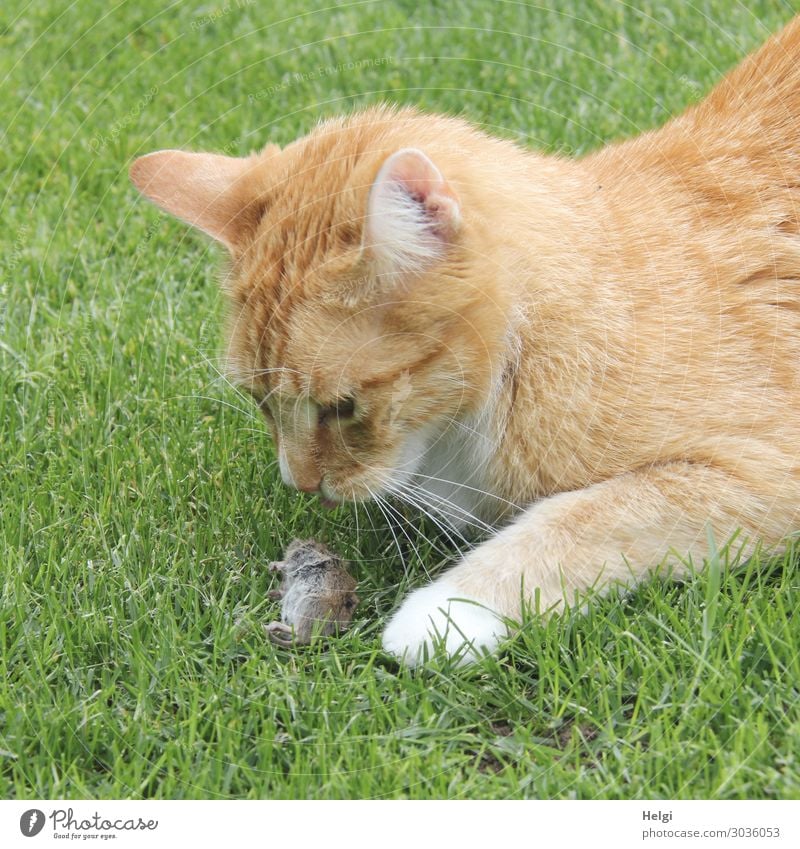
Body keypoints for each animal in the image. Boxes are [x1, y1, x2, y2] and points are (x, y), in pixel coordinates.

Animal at [133, 18, 800, 664]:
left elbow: (588, 515)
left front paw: (451, 610)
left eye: (343, 408)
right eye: (260, 402)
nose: (300, 485)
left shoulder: (765, 471)